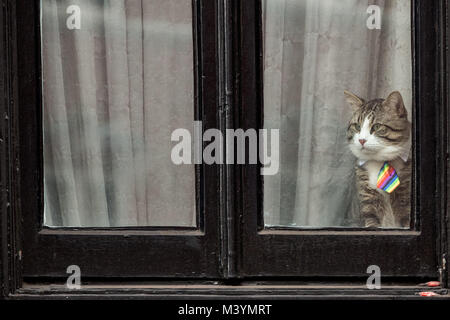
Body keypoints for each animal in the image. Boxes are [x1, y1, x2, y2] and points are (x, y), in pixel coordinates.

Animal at [344, 91, 412, 229]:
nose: (362, 140)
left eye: (376, 126)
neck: (380, 161)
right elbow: (371, 220)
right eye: (357, 126)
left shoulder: (405, 191)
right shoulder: (367, 195)